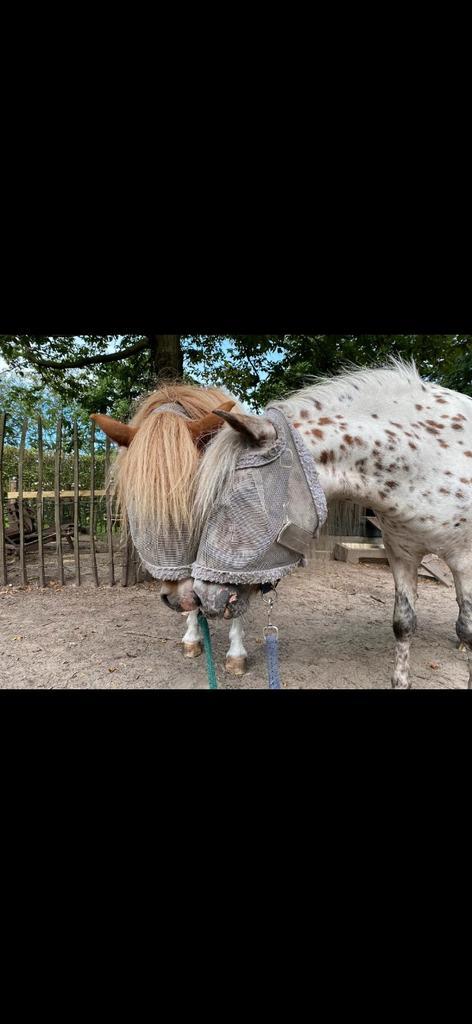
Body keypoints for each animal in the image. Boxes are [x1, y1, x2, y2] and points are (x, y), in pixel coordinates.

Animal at [190, 360, 472, 689]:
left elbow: (468, 628)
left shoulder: (464, 561)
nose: (202, 596)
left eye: (239, 496)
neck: (429, 458)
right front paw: (401, 681)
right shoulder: (402, 555)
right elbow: (404, 623)